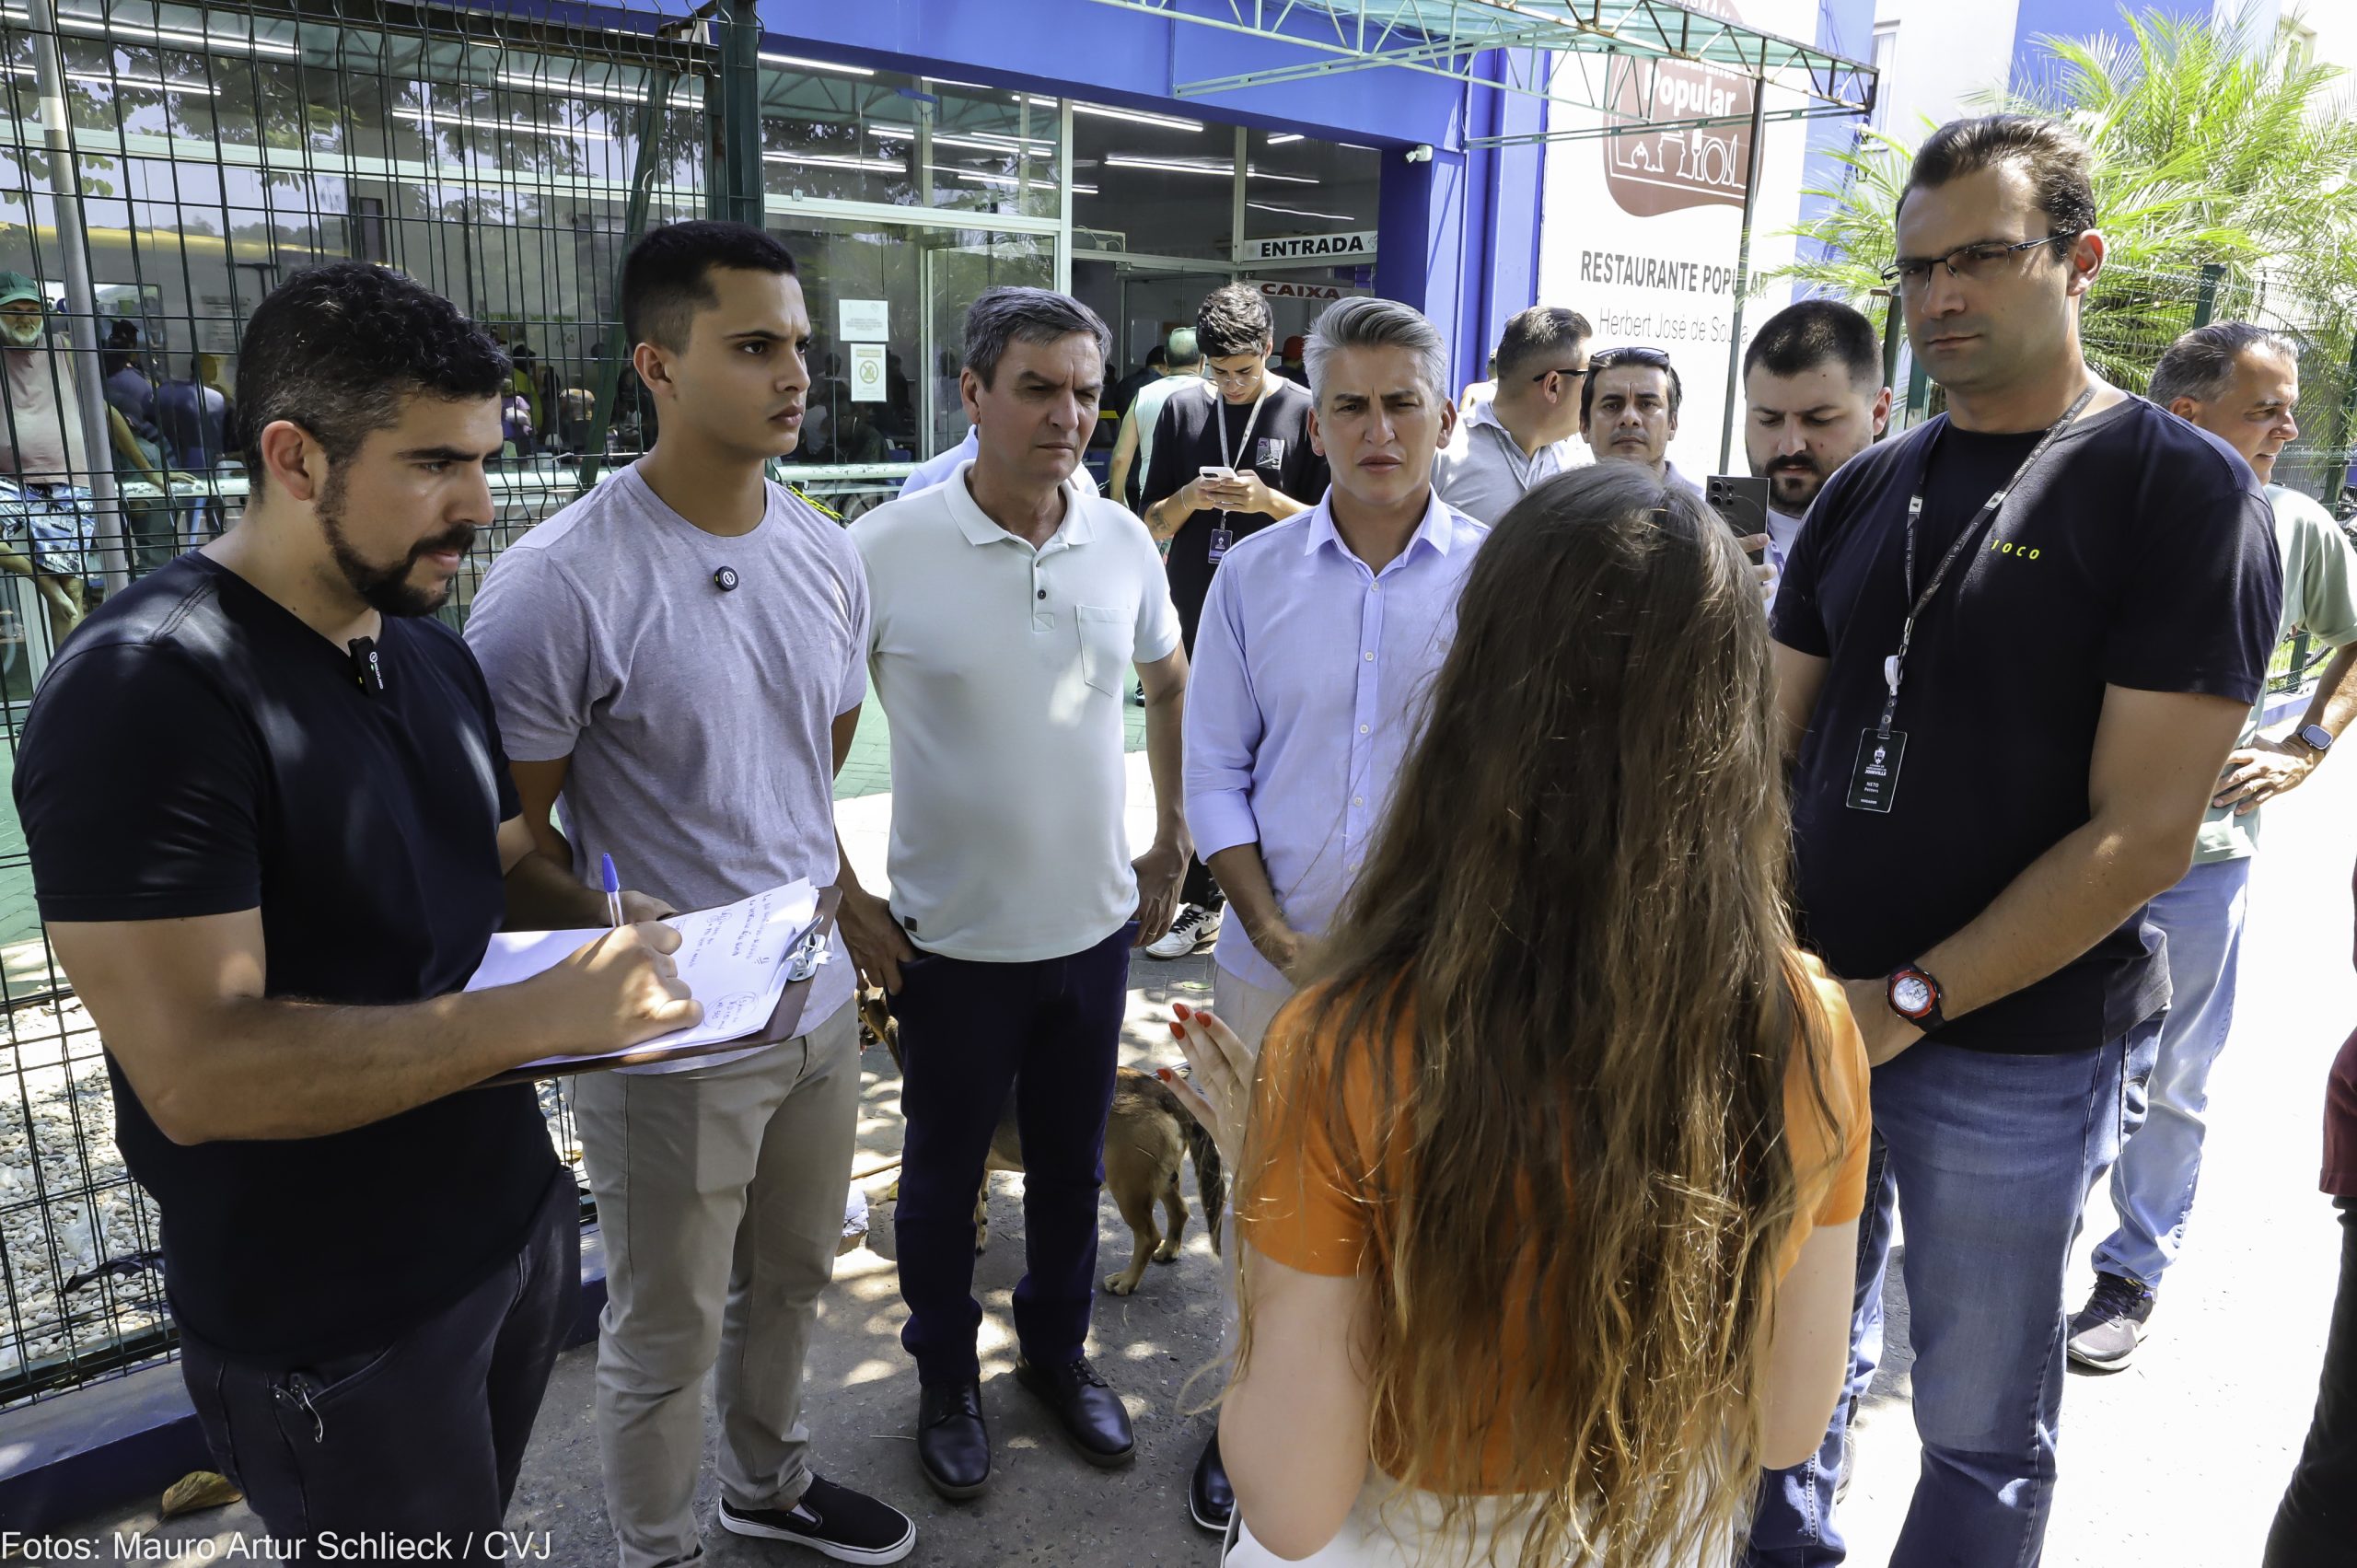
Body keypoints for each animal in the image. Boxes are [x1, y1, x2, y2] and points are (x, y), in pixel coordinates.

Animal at [857, 985, 1225, 1292]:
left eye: (860, 1004)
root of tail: (1161, 1092)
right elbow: (981, 1195)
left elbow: (971, 1207)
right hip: (1160, 1177)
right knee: (1180, 1213)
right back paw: (1170, 1250)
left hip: (1130, 1185)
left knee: (1148, 1236)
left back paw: (1126, 1281)